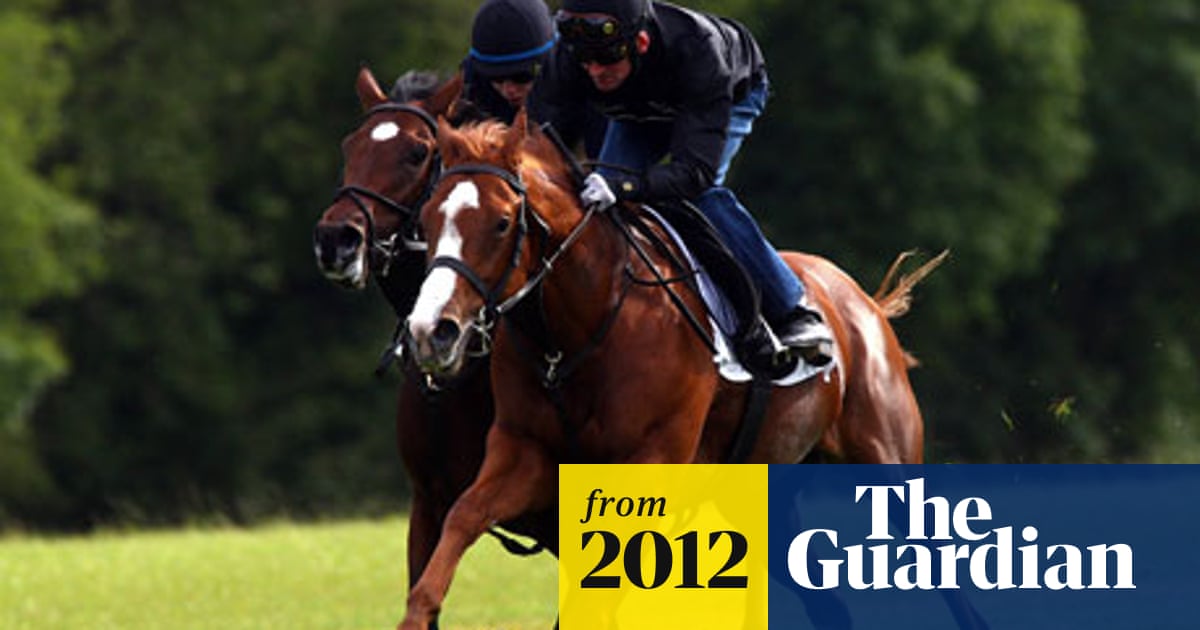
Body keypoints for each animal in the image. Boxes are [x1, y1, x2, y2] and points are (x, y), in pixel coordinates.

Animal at [396, 109, 973, 630]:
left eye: (499, 222)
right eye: (426, 222)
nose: (430, 330)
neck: (583, 326)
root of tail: (865, 305)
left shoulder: (650, 459)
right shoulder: (523, 452)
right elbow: (463, 516)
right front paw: (418, 612)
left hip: (885, 456)